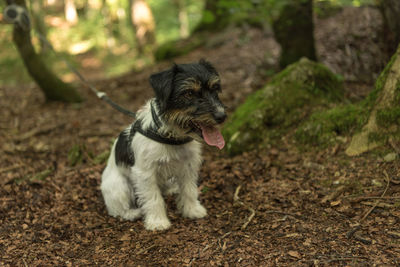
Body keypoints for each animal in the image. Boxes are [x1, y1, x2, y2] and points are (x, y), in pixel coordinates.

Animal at [101, 59, 227, 231]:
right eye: (189, 93)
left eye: (215, 88)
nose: (222, 116)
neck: (171, 136)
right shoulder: (145, 173)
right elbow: (153, 198)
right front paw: (157, 222)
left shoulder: (188, 166)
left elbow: (189, 190)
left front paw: (192, 210)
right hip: (119, 187)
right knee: (117, 210)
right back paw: (132, 213)